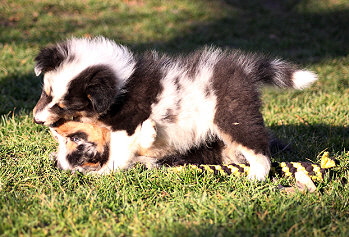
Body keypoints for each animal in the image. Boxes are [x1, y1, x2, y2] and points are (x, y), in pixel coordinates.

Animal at [32, 36, 316, 180]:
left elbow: (118, 153)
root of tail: (244, 70)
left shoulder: (126, 125)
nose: (36, 120)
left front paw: (106, 170)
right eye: (46, 92)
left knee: (258, 148)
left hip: (232, 115)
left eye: (67, 105)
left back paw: (255, 177)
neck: (123, 82)